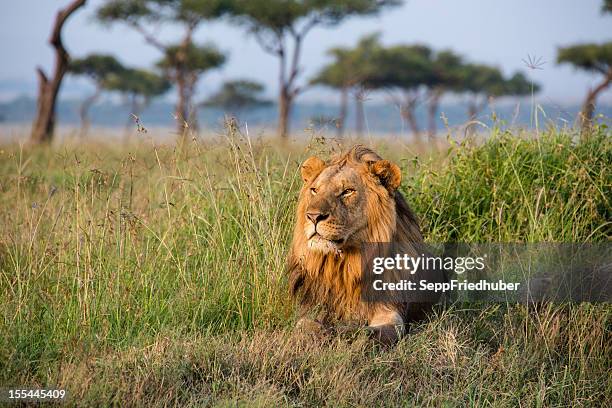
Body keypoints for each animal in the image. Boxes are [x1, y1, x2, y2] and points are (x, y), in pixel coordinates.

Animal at [286, 144, 444, 344]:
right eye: (314, 190)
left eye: (347, 191)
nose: (313, 216)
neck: (346, 265)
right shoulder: (310, 307)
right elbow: (303, 325)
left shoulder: (391, 312)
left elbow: (367, 332)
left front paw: (344, 331)